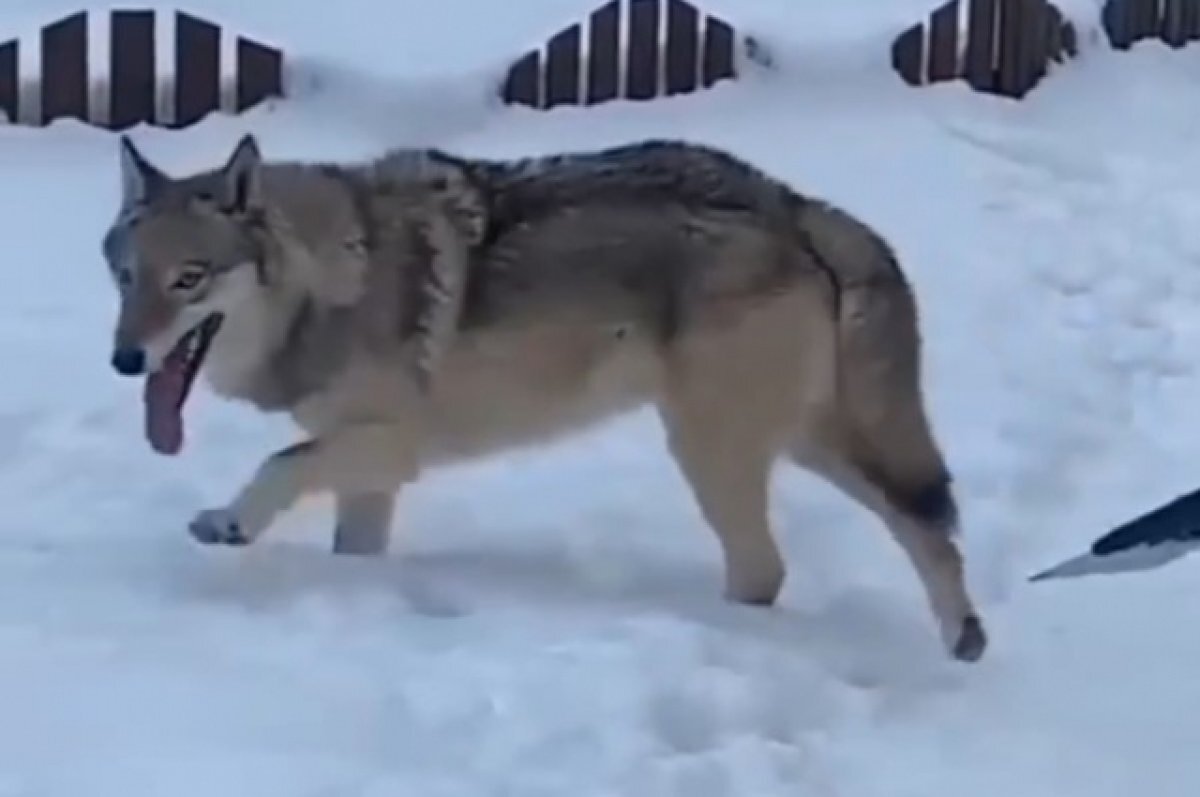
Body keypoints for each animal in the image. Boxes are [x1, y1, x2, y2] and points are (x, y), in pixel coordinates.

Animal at [100, 133, 984, 662]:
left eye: (189, 279)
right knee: (926, 526)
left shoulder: (392, 446)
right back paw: (963, 639)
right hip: (804, 438)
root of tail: (796, 204)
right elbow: (350, 540)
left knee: (770, 566)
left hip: (710, 445)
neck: (332, 277)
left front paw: (227, 523)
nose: (123, 359)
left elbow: (277, 464)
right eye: (126, 276)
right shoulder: (370, 475)